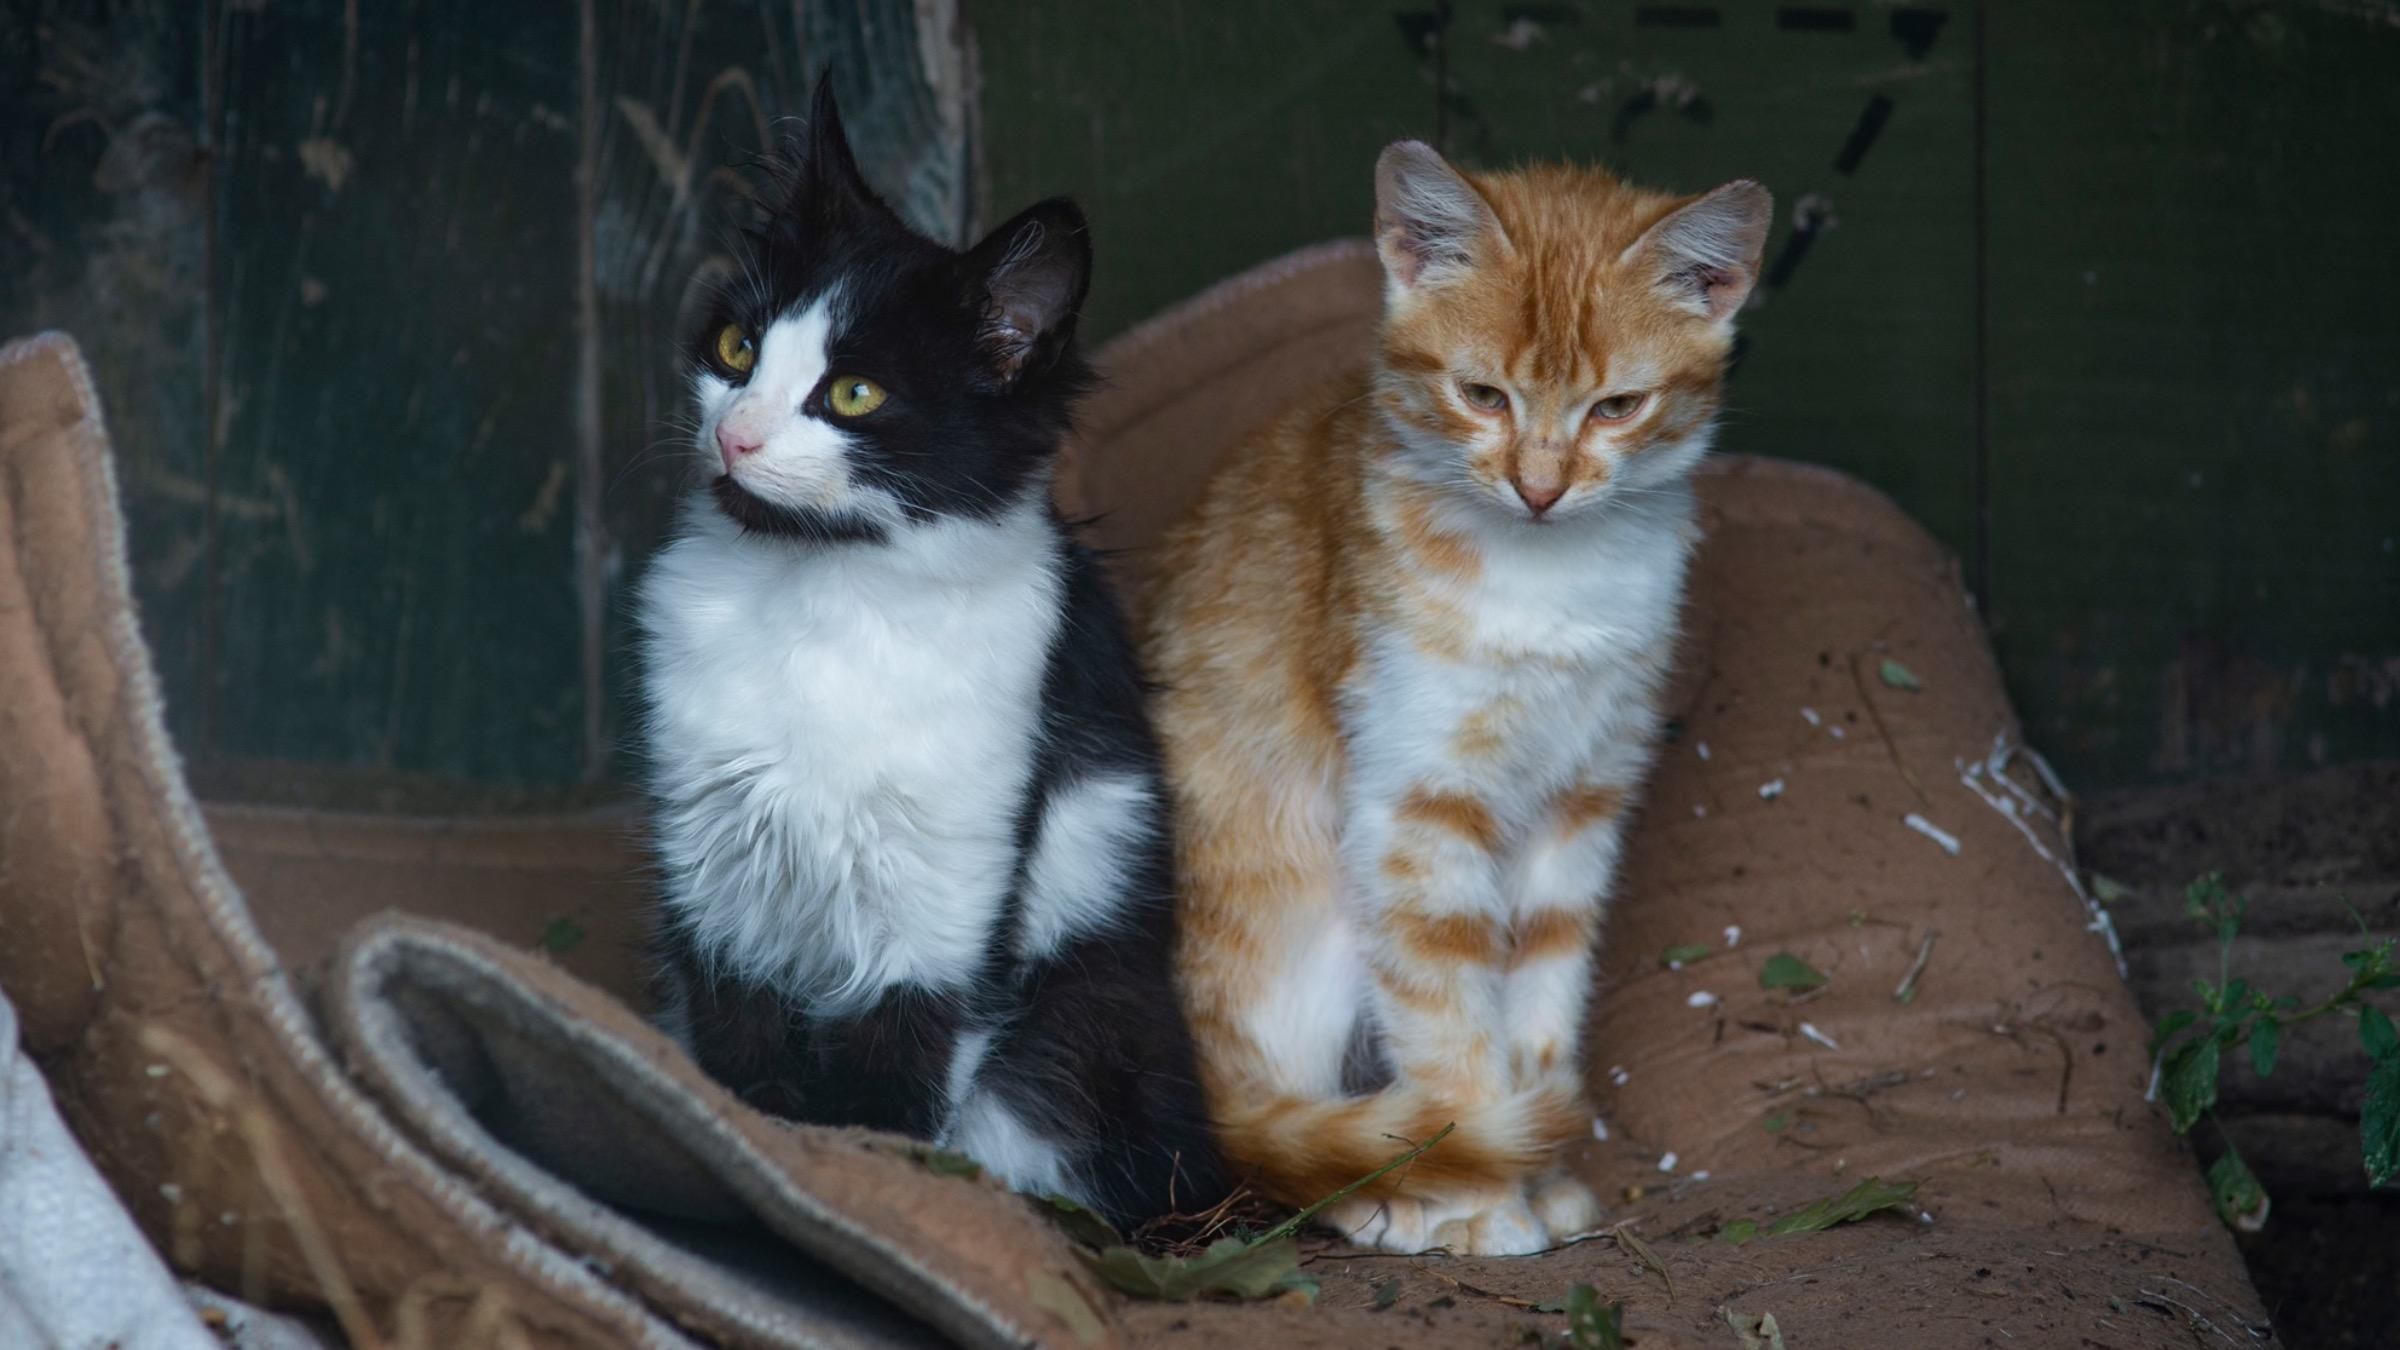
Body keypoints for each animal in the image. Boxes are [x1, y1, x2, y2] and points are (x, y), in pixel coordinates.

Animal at [638, 78, 1228, 1225]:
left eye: (854, 395)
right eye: (736, 352)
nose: (734, 437)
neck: (820, 593)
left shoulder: (949, 889)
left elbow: (897, 1070)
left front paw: (873, 1190)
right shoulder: (717, 866)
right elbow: (737, 1054)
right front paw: (743, 1156)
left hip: (1091, 1026)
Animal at [1142, 139, 1766, 1249]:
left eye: (1618, 407)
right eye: (1482, 395)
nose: (1541, 487)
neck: (1550, 579)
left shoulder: (1582, 804)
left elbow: (1544, 997)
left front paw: (1538, 1168)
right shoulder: (1415, 807)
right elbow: (1444, 1017)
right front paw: (1481, 1197)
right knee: (1269, 1133)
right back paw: (1381, 1195)